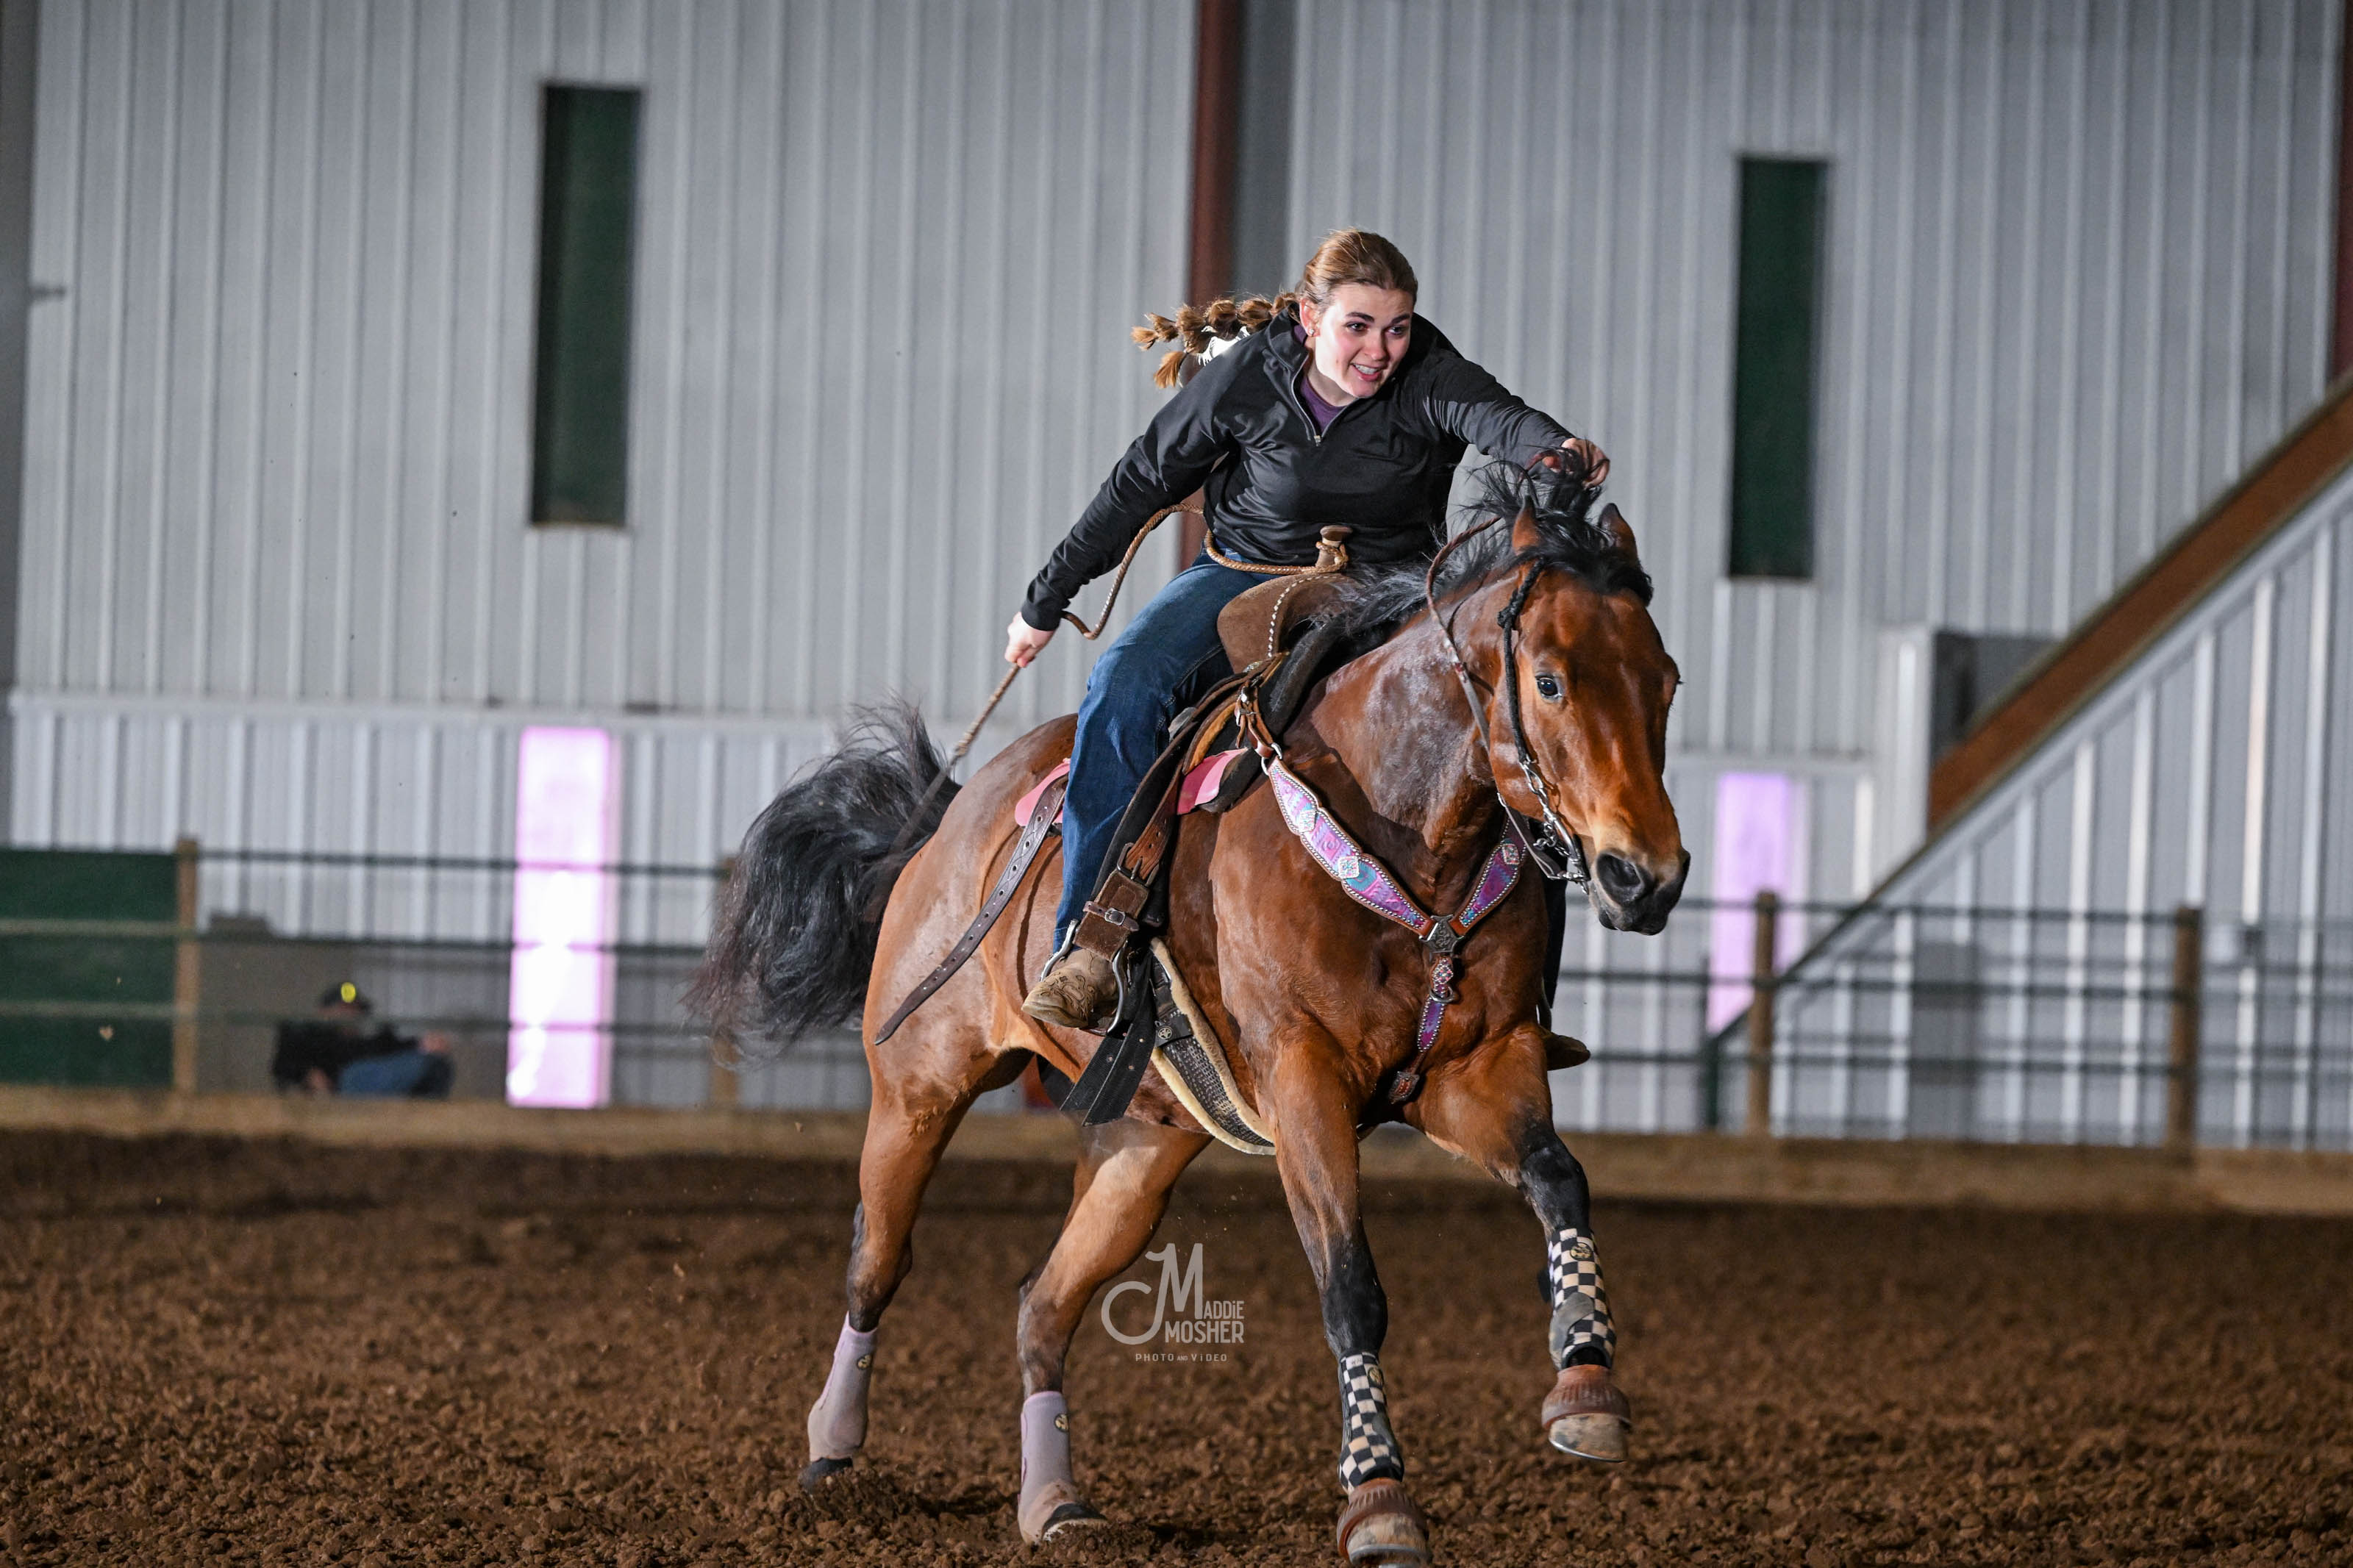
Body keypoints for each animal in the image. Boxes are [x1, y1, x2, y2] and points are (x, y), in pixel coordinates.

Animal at [690, 466, 1686, 1564]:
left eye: (1666, 682)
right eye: (1549, 681)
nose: (1647, 877)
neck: (1403, 829)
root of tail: (949, 815)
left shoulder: (1473, 1070)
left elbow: (1558, 1177)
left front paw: (1586, 1384)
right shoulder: (1302, 1081)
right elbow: (1350, 1286)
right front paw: (1377, 1498)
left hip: (1141, 1148)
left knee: (1043, 1307)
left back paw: (1053, 1502)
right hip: (918, 1084)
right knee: (876, 1263)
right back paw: (830, 1455)